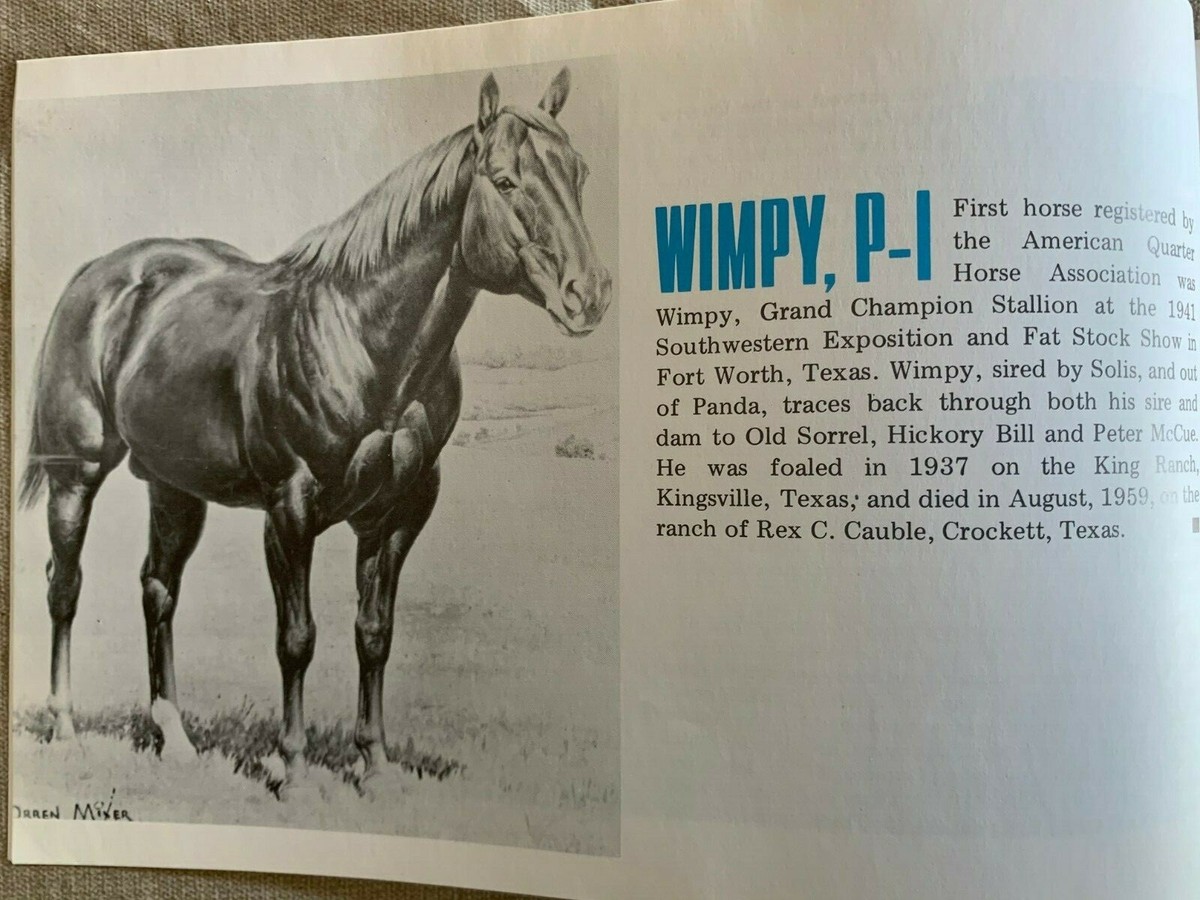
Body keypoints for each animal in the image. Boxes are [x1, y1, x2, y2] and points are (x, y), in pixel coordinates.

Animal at [18, 67, 612, 794]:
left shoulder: (397, 516)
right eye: (504, 181)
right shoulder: (290, 512)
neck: (364, 341)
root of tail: (101, 275)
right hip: (73, 475)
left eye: (579, 173)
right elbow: (296, 639)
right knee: (64, 586)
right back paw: (65, 726)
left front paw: (374, 764)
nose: (589, 294)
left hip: (173, 486)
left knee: (158, 589)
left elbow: (374, 634)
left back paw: (175, 739)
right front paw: (293, 766)